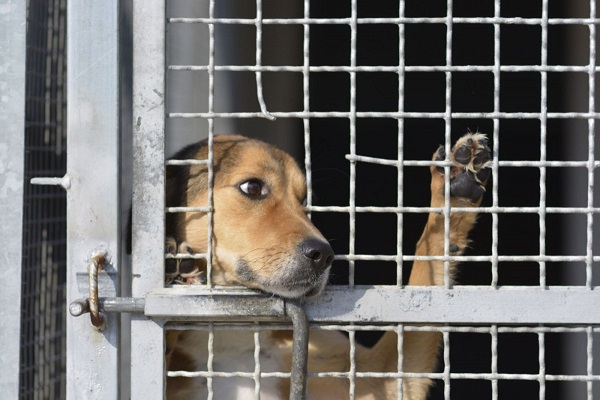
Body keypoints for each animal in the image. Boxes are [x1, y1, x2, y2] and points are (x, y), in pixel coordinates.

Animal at [162, 133, 490, 398]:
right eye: (252, 187)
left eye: (305, 200)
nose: (324, 255)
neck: (235, 334)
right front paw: (174, 269)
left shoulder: (381, 381)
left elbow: (424, 273)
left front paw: (455, 192)